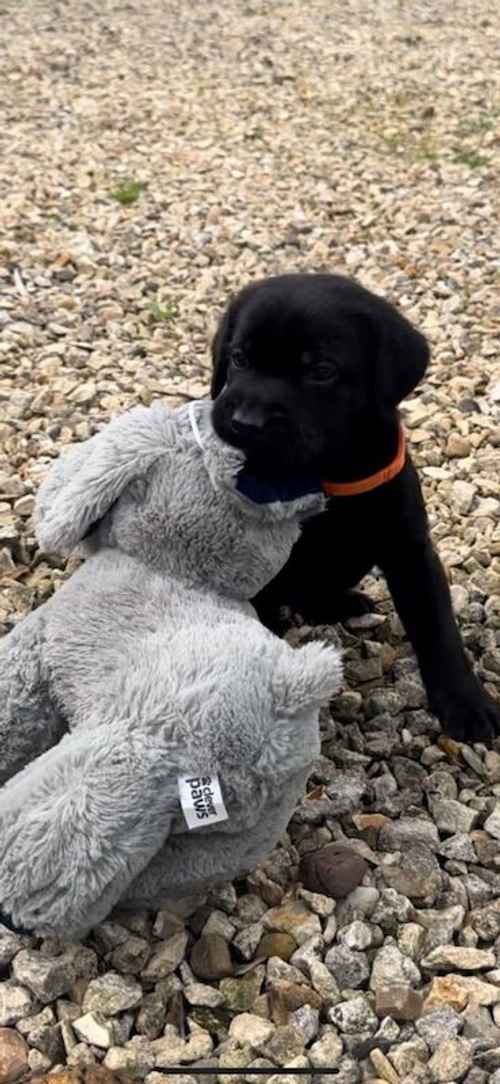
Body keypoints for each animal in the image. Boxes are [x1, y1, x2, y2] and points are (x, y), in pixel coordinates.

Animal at [210, 271, 498, 745]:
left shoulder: (410, 550)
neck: (325, 477)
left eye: (321, 371)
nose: (246, 423)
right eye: (239, 358)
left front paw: (468, 705)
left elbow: (439, 631)